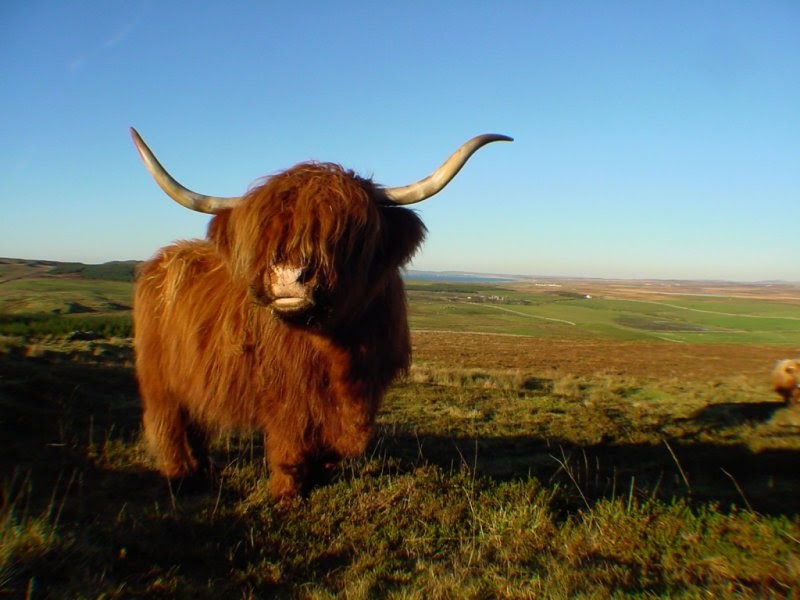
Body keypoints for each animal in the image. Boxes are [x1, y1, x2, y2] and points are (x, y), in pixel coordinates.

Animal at [130, 128, 512, 499]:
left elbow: (335, 445)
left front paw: (319, 474)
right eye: (265, 235)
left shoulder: (365, 390)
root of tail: (164, 258)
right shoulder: (283, 394)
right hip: (159, 379)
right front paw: (286, 493)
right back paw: (181, 476)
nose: (287, 276)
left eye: (346, 233)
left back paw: (204, 469)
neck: (340, 350)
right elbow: (289, 443)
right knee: (168, 422)